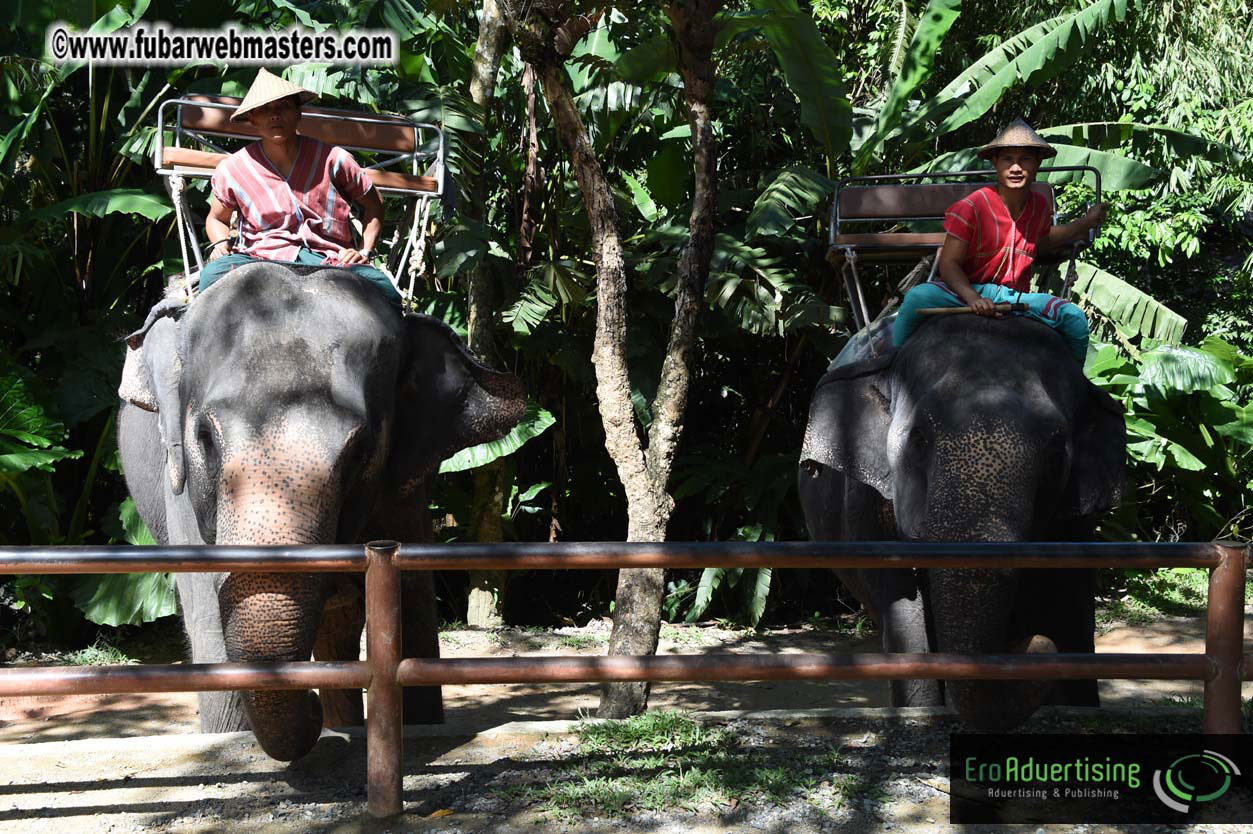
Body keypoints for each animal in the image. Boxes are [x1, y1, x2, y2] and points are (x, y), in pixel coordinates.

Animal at [117, 263, 525, 761]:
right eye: (205, 439)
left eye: (361, 452)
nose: (308, 702)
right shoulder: (181, 490)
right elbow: (210, 630)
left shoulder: (405, 487)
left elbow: (411, 616)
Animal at [798, 313, 1126, 731]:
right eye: (919, 439)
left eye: (1055, 457)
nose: (1027, 645)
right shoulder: (868, 508)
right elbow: (902, 611)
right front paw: (919, 715)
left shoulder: (1074, 519)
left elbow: (1067, 608)